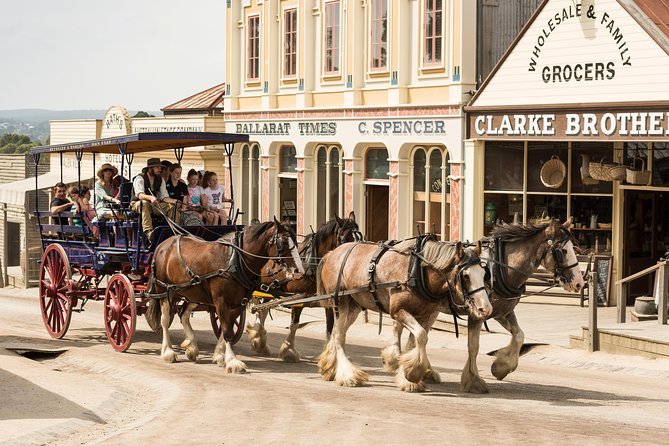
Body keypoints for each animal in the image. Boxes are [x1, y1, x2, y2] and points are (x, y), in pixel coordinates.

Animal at [147, 220, 304, 372]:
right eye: (284, 242)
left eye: (296, 243)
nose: (299, 271)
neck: (235, 260)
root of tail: (163, 245)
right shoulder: (221, 300)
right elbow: (227, 330)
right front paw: (232, 361)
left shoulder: (239, 302)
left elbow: (226, 327)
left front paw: (219, 355)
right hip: (164, 290)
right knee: (165, 320)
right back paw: (168, 351)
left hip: (193, 292)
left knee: (183, 313)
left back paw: (191, 346)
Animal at [244, 211, 360, 360]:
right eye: (345, 239)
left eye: (360, 237)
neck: (311, 262)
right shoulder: (297, 297)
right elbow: (294, 324)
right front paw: (288, 350)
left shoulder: (326, 299)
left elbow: (329, 327)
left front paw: (329, 355)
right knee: (259, 310)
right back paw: (258, 338)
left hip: (269, 288)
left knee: (262, 311)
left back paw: (259, 340)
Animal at [314, 239, 490, 392]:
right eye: (465, 275)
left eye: (484, 273)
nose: (485, 309)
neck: (417, 271)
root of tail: (331, 253)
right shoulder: (398, 311)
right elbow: (421, 336)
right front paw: (412, 374)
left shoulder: (425, 314)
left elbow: (415, 342)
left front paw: (408, 373)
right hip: (340, 302)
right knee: (339, 336)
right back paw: (348, 375)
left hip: (354, 306)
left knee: (336, 333)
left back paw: (330, 368)